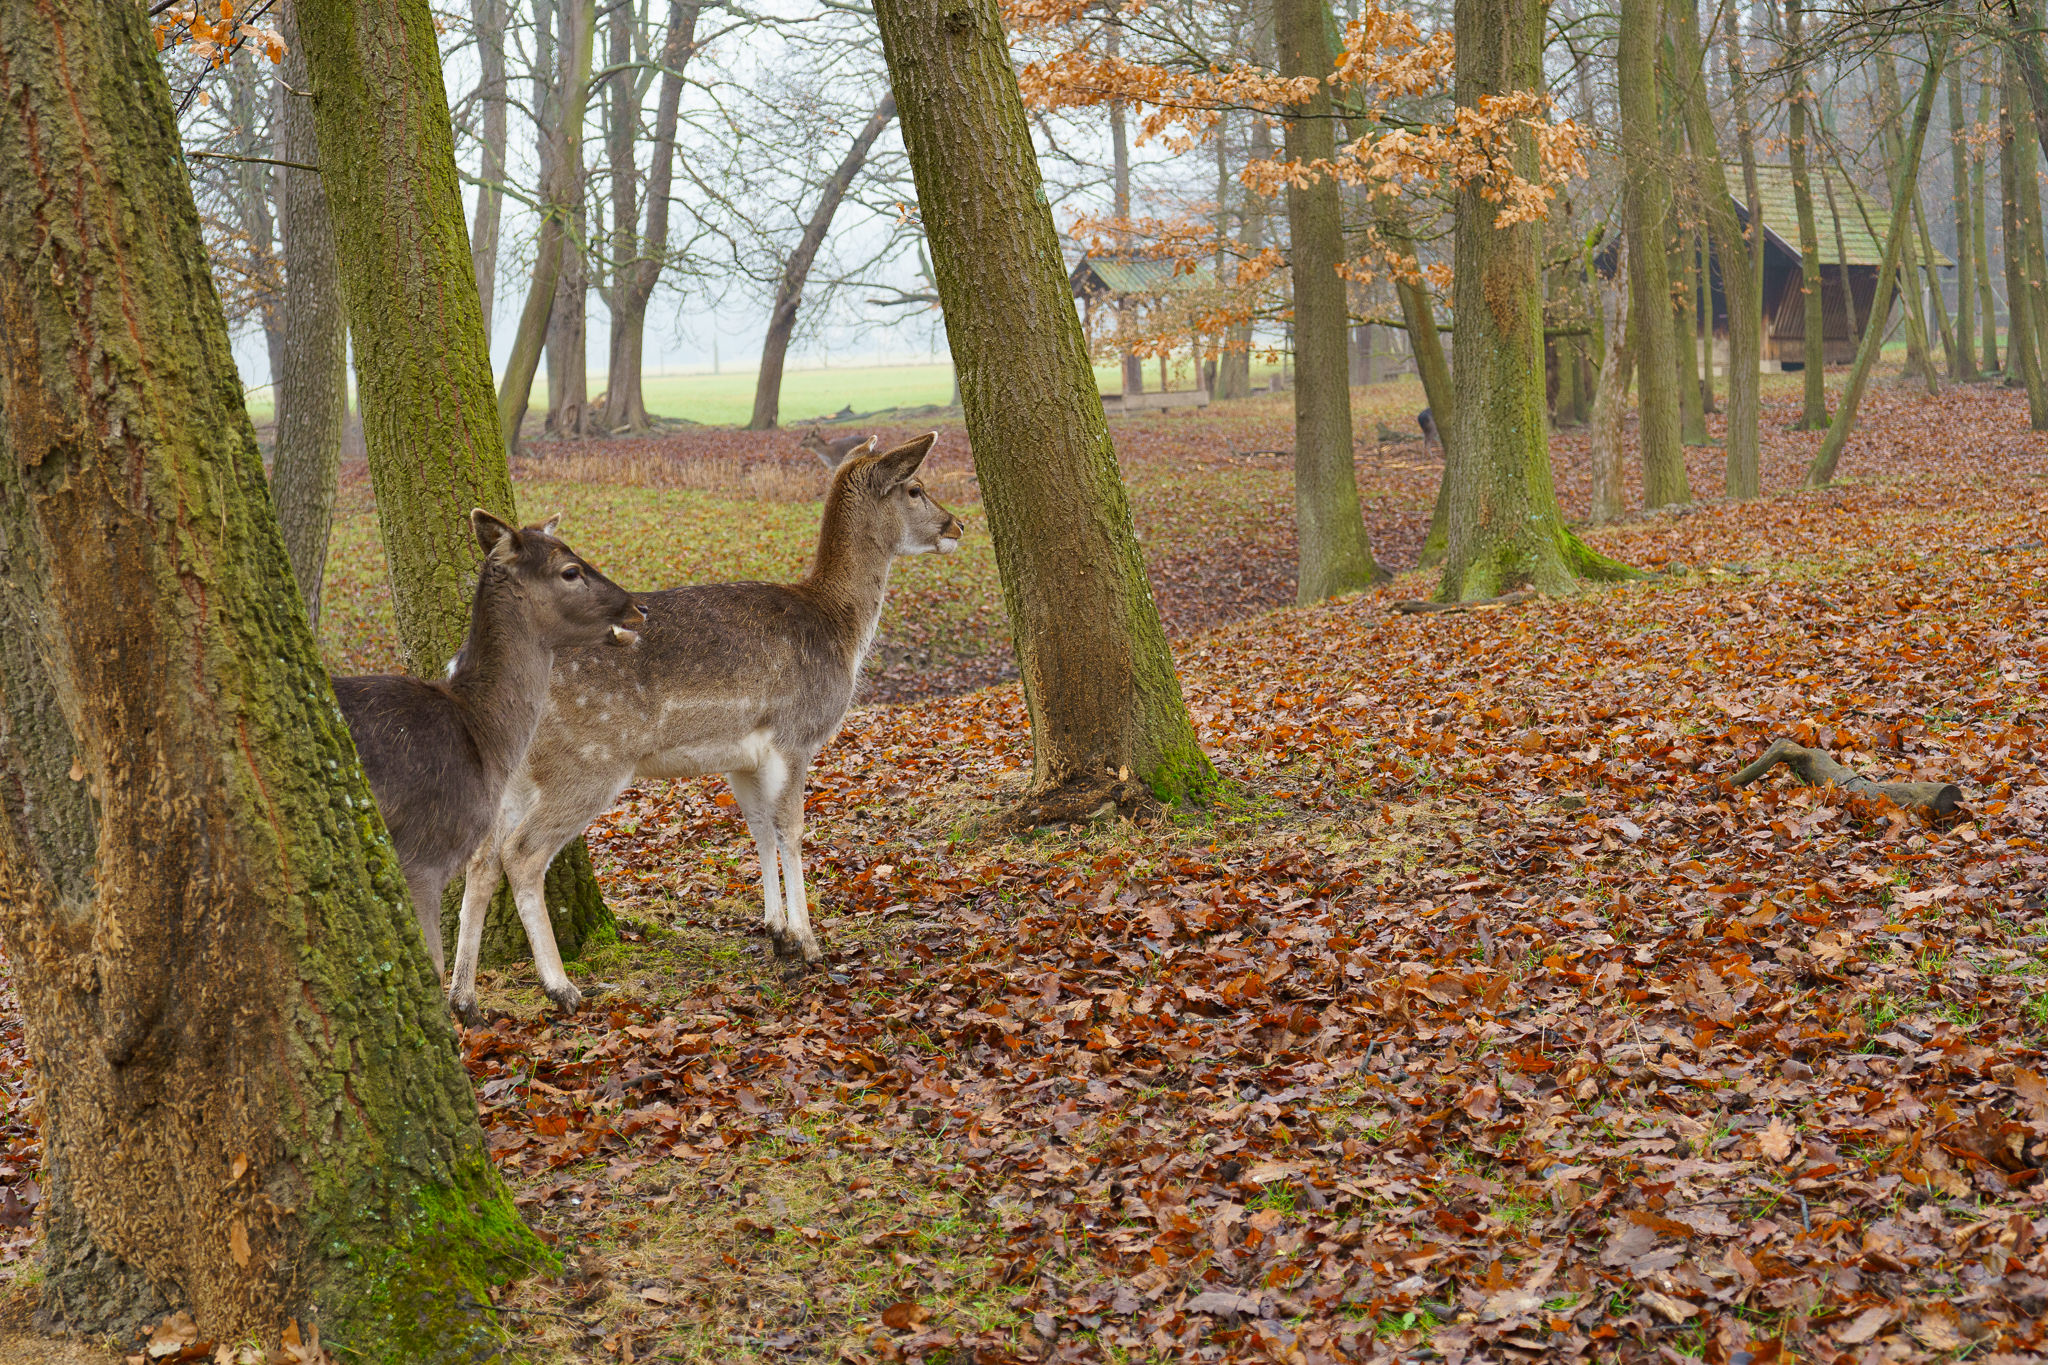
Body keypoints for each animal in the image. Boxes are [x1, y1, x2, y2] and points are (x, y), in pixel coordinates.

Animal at [448, 431, 958, 1019]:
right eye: (916, 487)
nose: (957, 526)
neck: (840, 631)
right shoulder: (795, 734)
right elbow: (791, 829)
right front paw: (809, 944)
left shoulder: (743, 756)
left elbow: (758, 827)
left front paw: (777, 932)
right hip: (588, 763)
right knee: (522, 853)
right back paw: (561, 987)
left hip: (514, 774)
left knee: (482, 858)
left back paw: (464, 999)